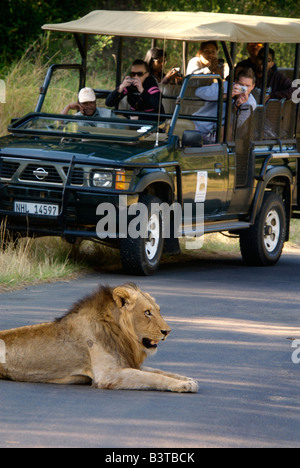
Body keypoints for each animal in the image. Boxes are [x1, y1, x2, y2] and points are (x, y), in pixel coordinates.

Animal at [0, 284, 198, 394]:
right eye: (147, 312)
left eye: (158, 310)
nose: (167, 331)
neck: (120, 333)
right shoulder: (108, 374)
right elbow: (152, 377)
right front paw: (184, 385)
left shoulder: (126, 362)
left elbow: (158, 371)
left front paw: (188, 379)